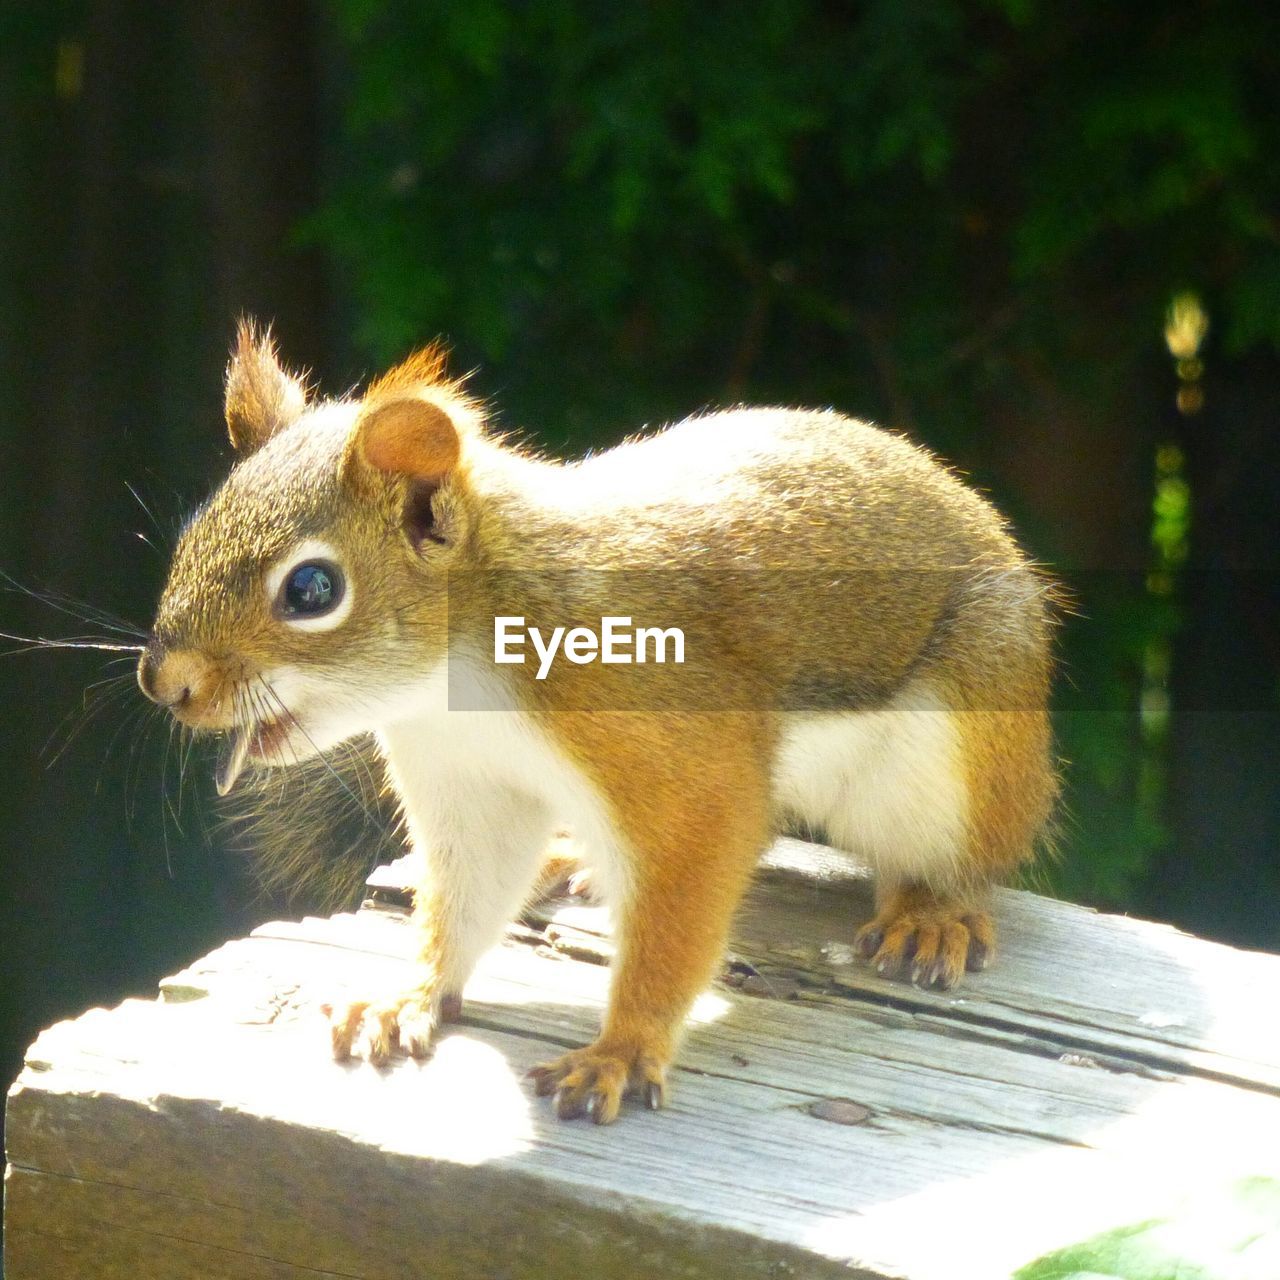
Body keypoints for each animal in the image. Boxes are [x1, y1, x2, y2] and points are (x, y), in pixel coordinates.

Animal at [142, 320, 1059, 1121]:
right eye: (192, 529)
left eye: (312, 590)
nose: (165, 683)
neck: (459, 685)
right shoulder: (470, 785)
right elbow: (466, 898)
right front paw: (408, 995)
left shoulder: (680, 757)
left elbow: (682, 905)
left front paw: (618, 1053)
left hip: (956, 753)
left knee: (957, 859)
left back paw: (929, 916)